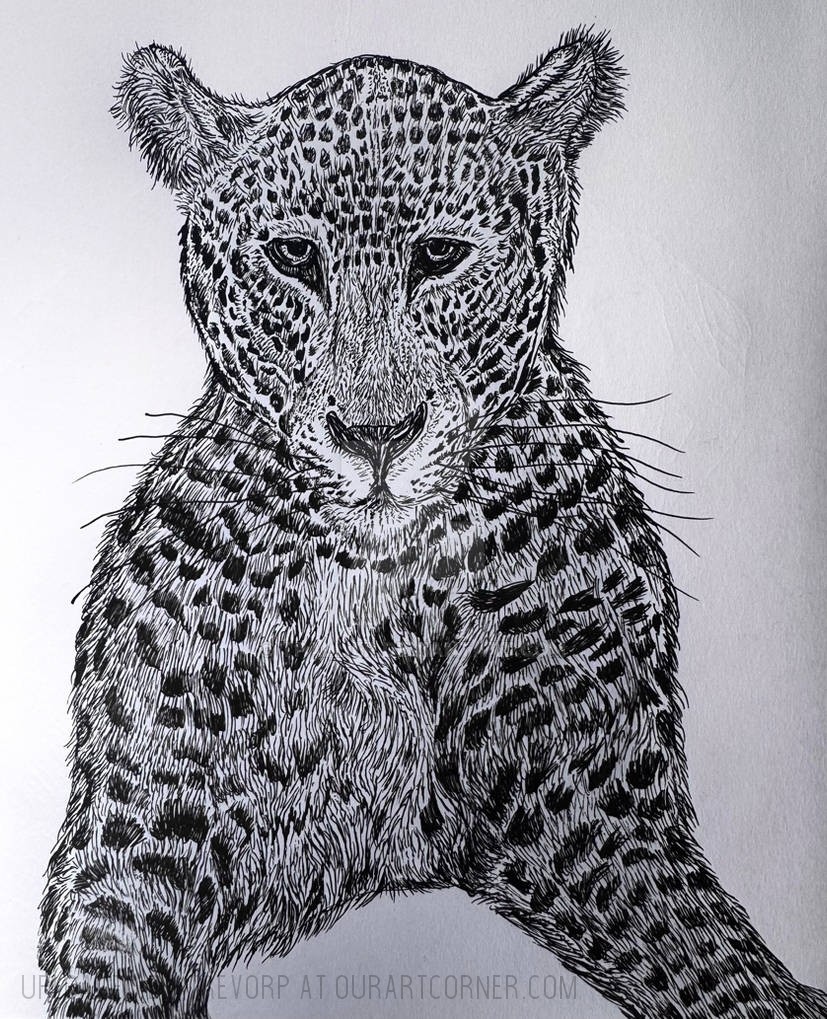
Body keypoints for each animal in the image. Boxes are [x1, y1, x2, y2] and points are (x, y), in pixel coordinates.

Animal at [38, 27, 827, 1019]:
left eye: (441, 255)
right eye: (293, 256)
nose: (376, 432)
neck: (377, 579)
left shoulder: (600, 812)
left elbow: (718, 969)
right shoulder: (133, 837)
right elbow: (110, 962)